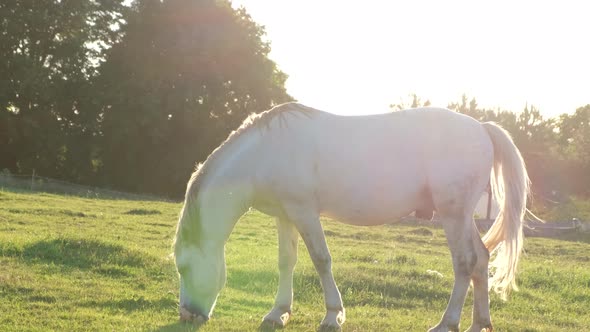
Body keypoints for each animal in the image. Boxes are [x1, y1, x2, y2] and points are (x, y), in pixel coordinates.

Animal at [173, 102, 528, 330]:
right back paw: (479, 322)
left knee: (465, 262)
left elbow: (321, 260)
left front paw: (333, 315)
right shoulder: (285, 215)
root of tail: (481, 127)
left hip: (453, 215)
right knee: (481, 259)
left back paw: (447, 323)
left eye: (184, 267)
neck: (265, 151)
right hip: (463, 216)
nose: (188, 315)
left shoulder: (304, 212)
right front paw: (278, 312)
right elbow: (286, 261)